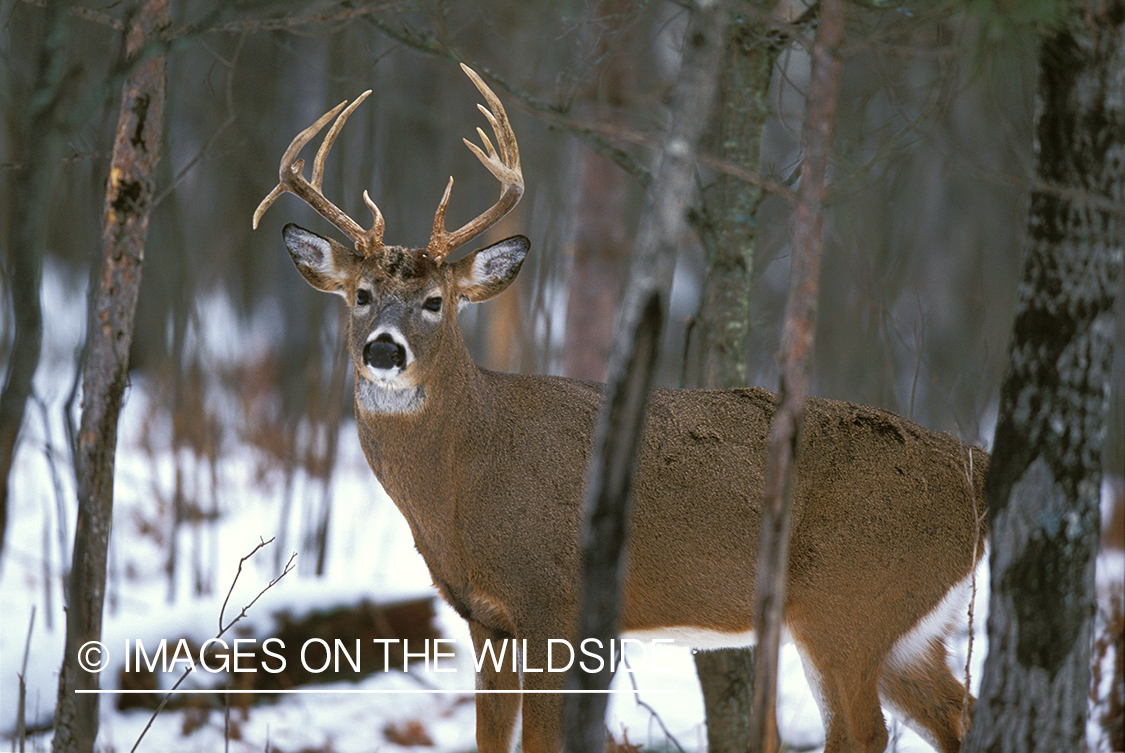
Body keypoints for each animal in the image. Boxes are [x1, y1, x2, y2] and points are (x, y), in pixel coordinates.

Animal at [253, 66, 985, 751]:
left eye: (437, 301)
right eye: (361, 294)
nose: (383, 348)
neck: (468, 478)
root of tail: (978, 466)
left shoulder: (554, 601)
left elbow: (544, 741)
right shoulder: (487, 619)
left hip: (848, 603)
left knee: (864, 731)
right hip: (904, 626)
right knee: (959, 713)